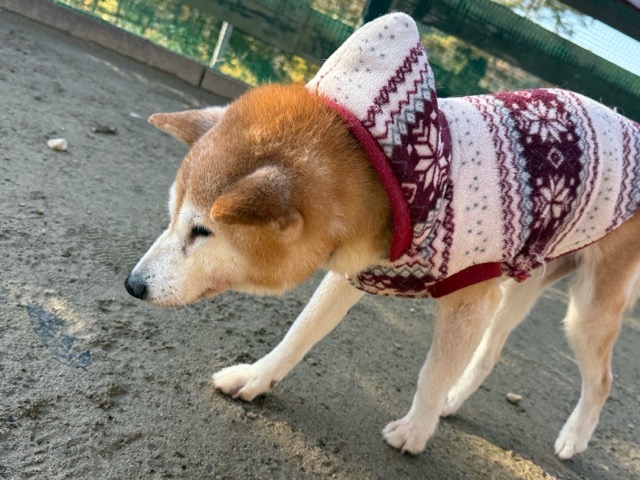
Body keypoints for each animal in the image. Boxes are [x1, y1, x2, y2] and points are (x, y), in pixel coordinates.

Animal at [125, 13, 640, 459]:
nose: (132, 285)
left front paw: (414, 432)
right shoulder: (355, 271)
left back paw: (572, 438)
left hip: (585, 310)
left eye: (202, 231)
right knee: (490, 352)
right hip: (523, 283)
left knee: (602, 381)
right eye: (172, 217)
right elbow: (300, 332)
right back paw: (455, 400)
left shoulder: (470, 298)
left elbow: (431, 372)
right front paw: (257, 377)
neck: (397, 182)